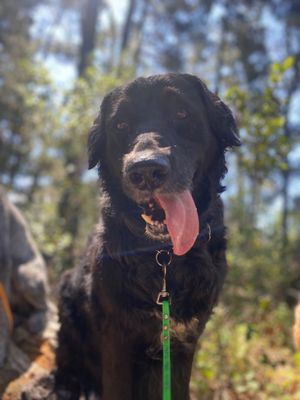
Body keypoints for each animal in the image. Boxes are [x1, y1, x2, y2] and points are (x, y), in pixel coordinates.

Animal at [54, 73, 241, 398]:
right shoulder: (116, 337)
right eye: (120, 125)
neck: (163, 255)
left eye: (181, 113)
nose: (146, 170)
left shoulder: (184, 340)